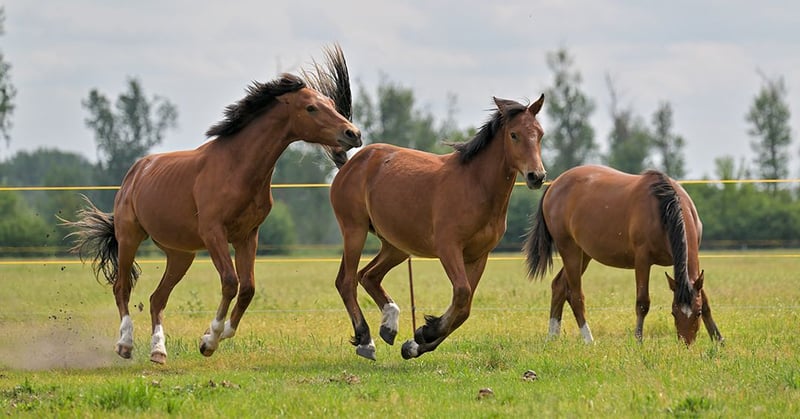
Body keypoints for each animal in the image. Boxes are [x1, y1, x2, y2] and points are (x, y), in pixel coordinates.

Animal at [62, 45, 361, 364]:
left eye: (331, 102)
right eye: (311, 108)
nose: (353, 134)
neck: (236, 167)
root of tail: (136, 171)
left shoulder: (247, 236)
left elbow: (248, 288)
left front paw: (216, 337)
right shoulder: (213, 232)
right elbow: (230, 281)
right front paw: (209, 339)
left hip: (180, 254)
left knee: (157, 298)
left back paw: (158, 351)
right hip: (130, 236)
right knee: (123, 287)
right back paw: (125, 344)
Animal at [329, 94, 547, 360]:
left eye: (540, 133)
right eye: (514, 135)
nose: (536, 176)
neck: (475, 185)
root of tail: (351, 164)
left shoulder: (478, 256)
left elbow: (464, 308)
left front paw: (416, 343)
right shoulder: (448, 248)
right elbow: (462, 293)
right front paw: (426, 332)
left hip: (396, 246)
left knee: (368, 276)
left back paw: (389, 326)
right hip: (355, 231)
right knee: (347, 281)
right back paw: (365, 340)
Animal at [524, 165, 724, 345]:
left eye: (697, 313)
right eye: (673, 312)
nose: (686, 343)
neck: (663, 208)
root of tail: (554, 185)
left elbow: (705, 300)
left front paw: (718, 339)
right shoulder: (642, 260)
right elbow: (642, 303)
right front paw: (638, 341)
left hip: (584, 255)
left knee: (559, 286)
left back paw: (552, 337)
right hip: (569, 250)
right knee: (575, 295)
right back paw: (588, 340)